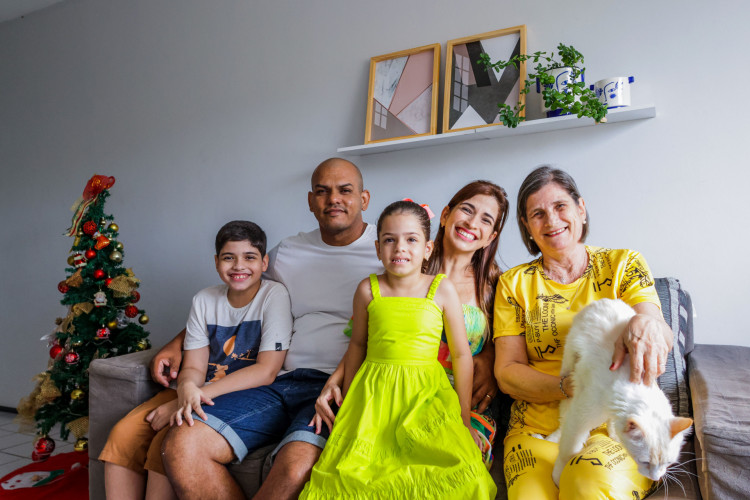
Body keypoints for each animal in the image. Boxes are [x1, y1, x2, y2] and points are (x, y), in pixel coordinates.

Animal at [548, 298, 696, 486]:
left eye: (668, 462)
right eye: (645, 462)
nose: (656, 478)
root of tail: (603, 301)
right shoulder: (580, 416)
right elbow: (568, 449)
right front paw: (558, 475)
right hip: (569, 363)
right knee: (564, 414)